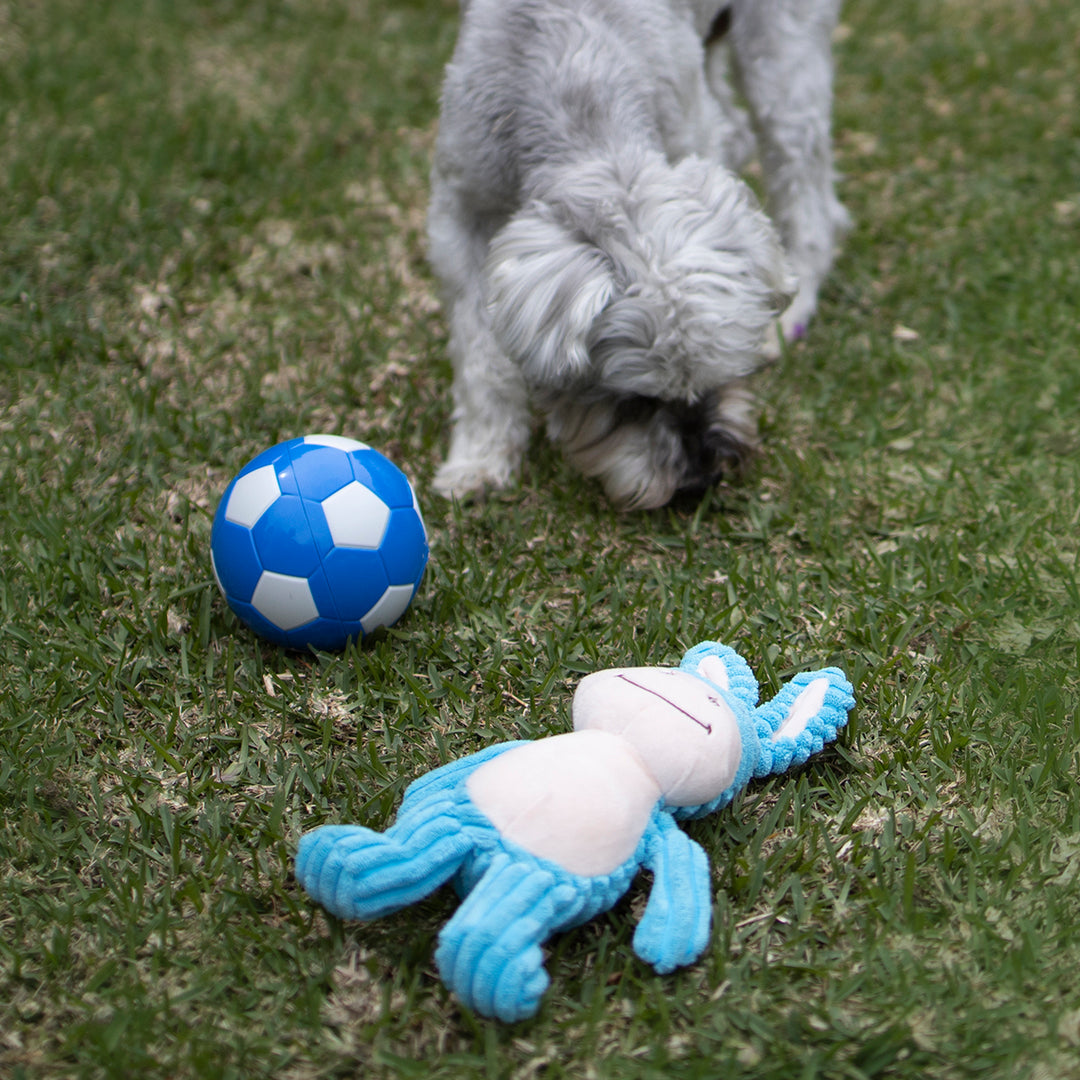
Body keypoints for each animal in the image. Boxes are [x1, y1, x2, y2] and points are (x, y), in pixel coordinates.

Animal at [425, 0, 846, 509]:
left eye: (723, 373)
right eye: (635, 402)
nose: (700, 481)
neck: (576, 77)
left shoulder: (688, 140)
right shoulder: (460, 214)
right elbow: (481, 359)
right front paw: (479, 462)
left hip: (783, 59)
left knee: (807, 194)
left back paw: (792, 314)